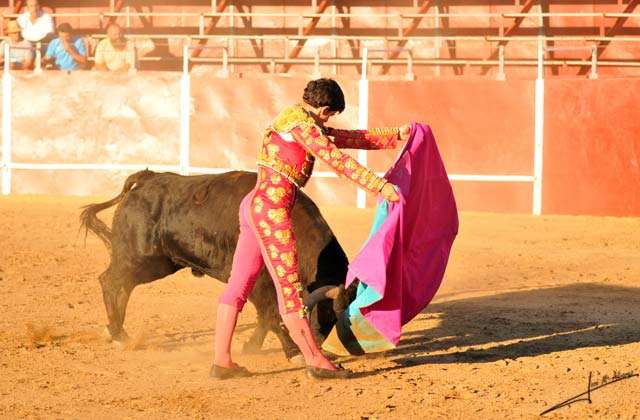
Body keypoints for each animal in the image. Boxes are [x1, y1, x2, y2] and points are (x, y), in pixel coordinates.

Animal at [80, 170, 352, 360]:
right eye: (328, 314)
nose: (325, 349)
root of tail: (147, 178)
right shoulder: (257, 284)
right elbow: (271, 314)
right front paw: (294, 352)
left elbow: (266, 317)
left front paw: (251, 346)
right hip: (140, 258)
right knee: (110, 281)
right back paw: (118, 334)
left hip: (157, 263)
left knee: (122, 286)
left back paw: (116, 331)